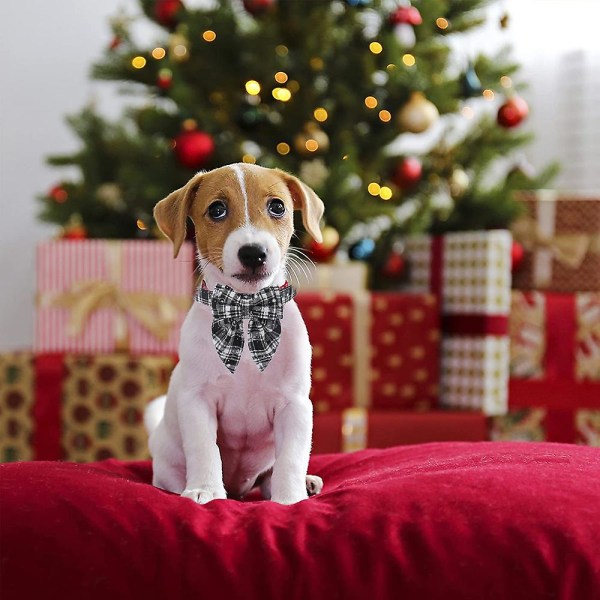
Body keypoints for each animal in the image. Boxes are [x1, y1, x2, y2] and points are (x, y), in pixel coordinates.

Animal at [144, 162, 324, 504]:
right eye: (217, 209)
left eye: (277, 206)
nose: (253, 253)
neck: (246, 310)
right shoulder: (198, 402)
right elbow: (205, 450)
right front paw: (205, 490)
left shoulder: (295, 406)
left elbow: (291, 458)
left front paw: (290, 499)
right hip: (167, 461)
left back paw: (304, 483)